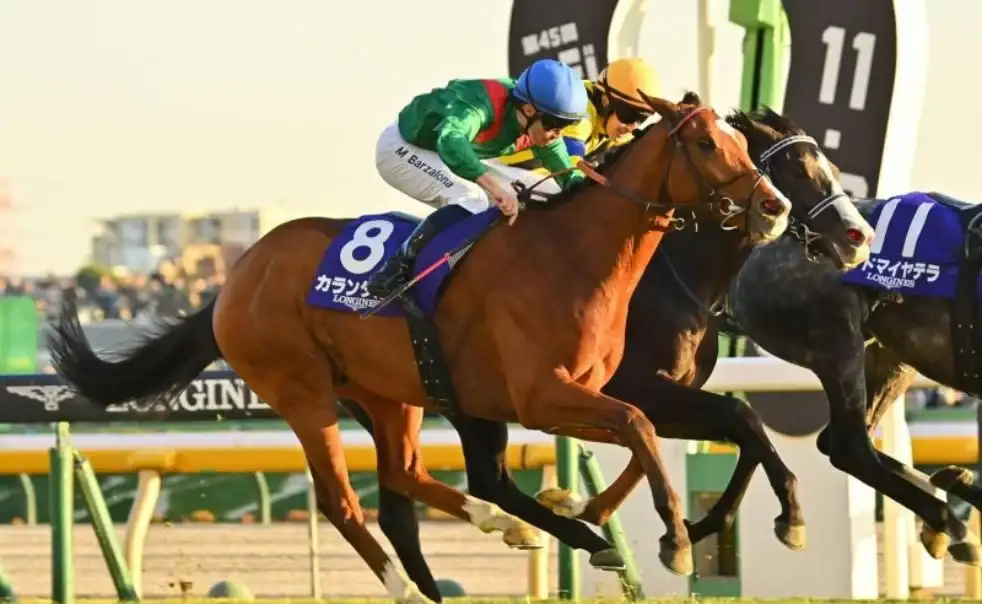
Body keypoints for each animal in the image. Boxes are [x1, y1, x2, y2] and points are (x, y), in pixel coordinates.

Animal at [47, 94, 792, 602]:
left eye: (739, 141)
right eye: (704, 143)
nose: (776, 207)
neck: (573, 256)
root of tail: (232, 281)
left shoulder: (584, 393)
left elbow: (656, 437)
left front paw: (593, 519)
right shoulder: (544, 396)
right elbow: (641, 429)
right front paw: (672, 540)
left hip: (389, 392)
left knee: (405, 477)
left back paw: (499, 530)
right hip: (302, 391)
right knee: (342, 501)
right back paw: (410, 582)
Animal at [335, 98, 877, 600]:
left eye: (827, 164)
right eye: (795, 167)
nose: (859, 236)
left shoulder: (658, 397)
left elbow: (724, 436)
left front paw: (600, 510)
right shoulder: (637, 389)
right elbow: (733, 421)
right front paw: (776, 518)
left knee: (421, 497)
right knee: (471, 484)